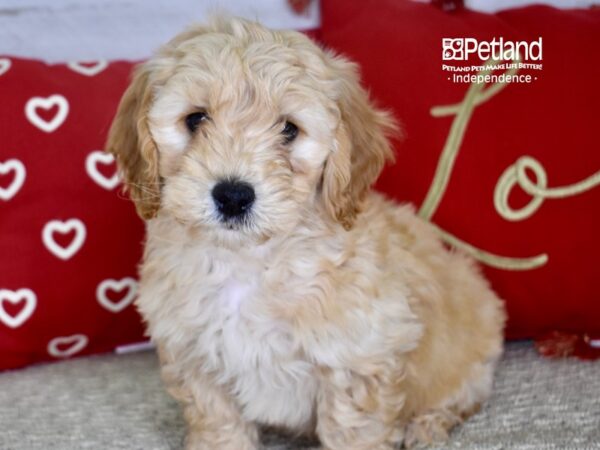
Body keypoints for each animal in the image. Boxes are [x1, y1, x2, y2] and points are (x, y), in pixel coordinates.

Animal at [105, 15, 504, 448]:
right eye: (195, 119)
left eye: (289, 130)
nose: (233, 196)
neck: (249, 261)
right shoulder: (195, 360)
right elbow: (219, 424)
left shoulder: (357, 359)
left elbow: (353, 434)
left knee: (462, 398)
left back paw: (425, 425)